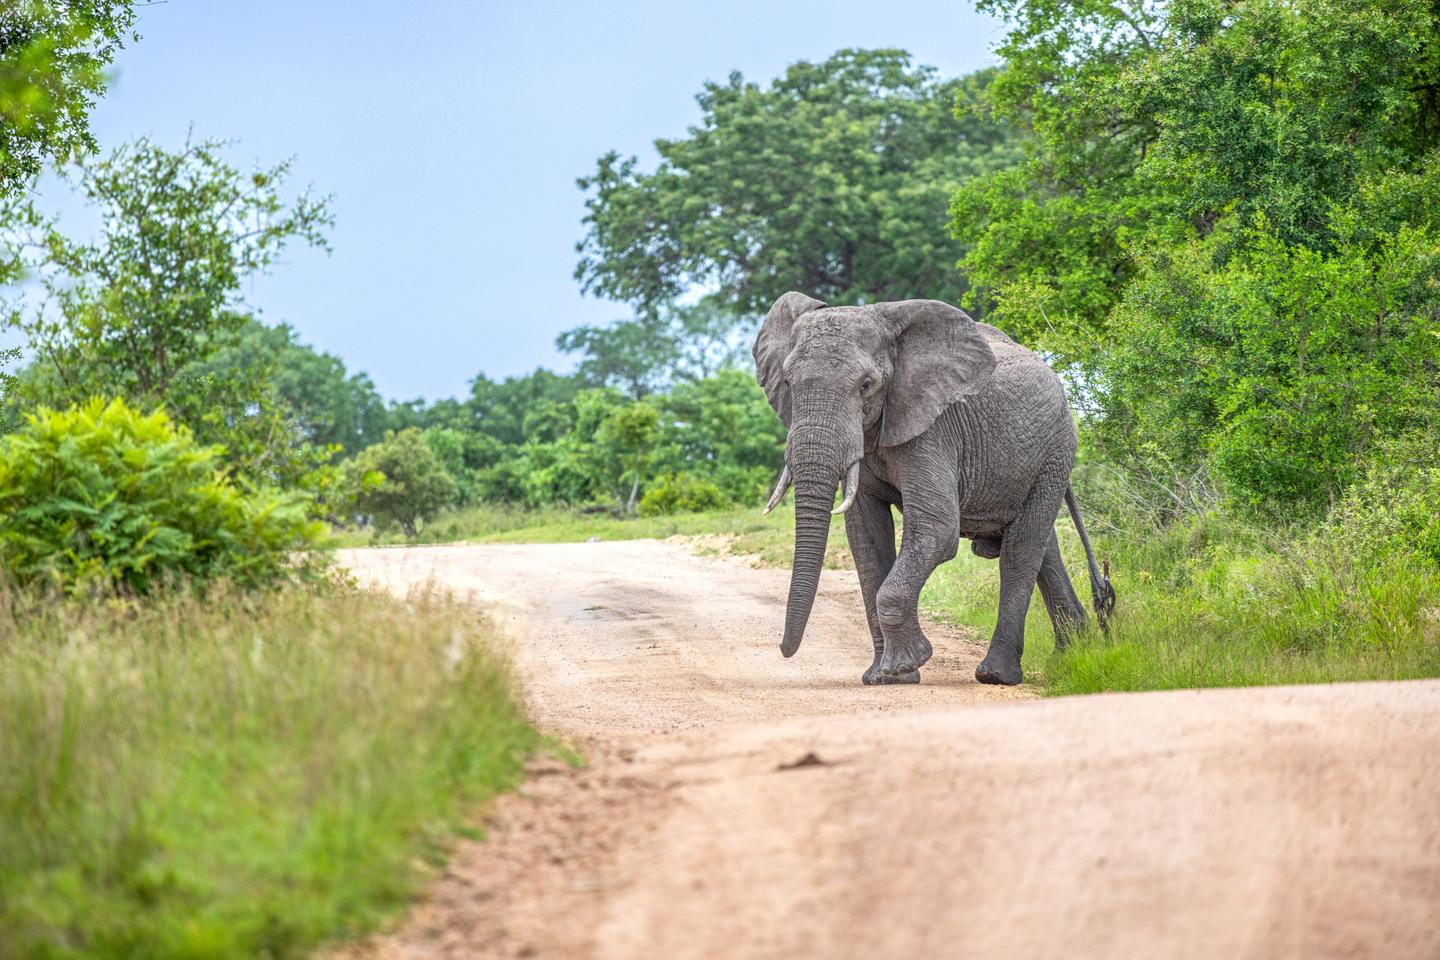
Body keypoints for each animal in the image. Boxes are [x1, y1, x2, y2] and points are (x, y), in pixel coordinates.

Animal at [753, 292, 1115, 686]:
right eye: (787, 383)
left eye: (866, 385)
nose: (784, 649)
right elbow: (866, 537)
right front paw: (883, 677)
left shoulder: (935, 428)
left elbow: (936, 530)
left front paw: (904, 665)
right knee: (1044, 546)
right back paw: (1070, 656)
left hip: (1055, 450)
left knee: (1022, 547)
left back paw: (996, 674)